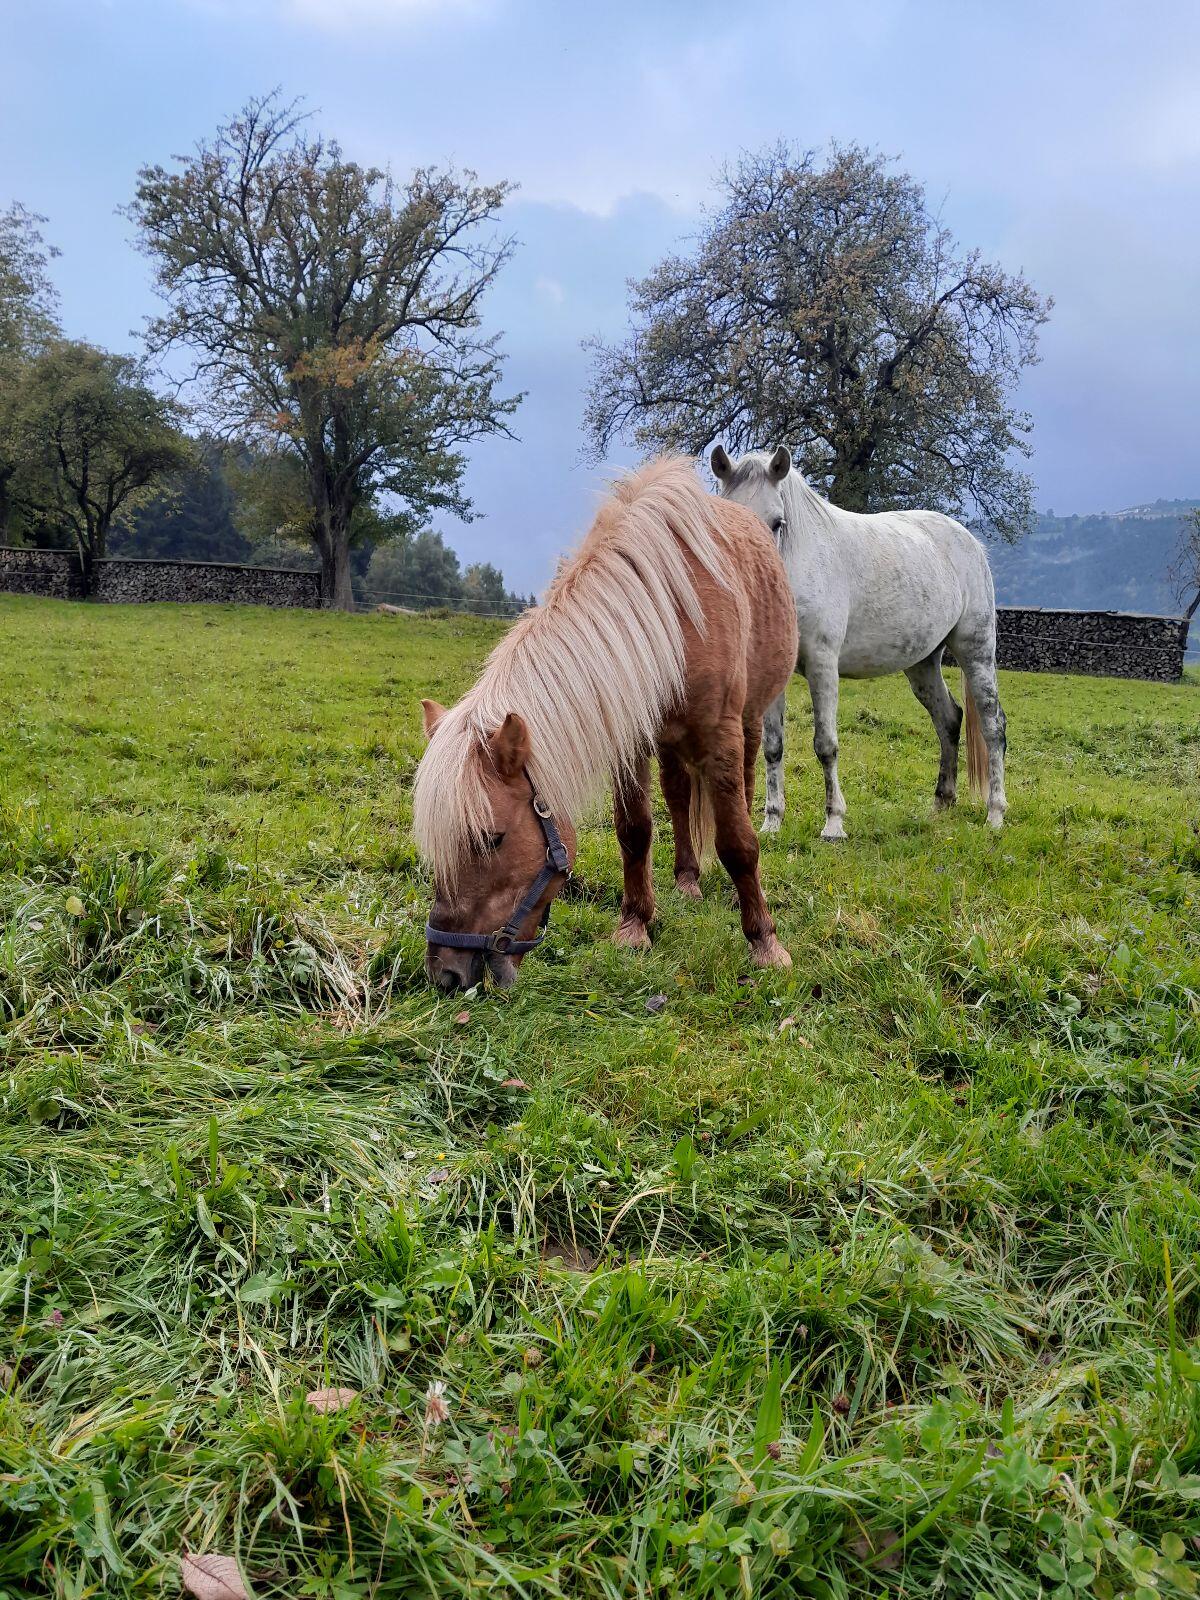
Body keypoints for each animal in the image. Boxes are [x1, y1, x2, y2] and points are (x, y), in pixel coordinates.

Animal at [412, 455, 799, 991]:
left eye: (491, 839)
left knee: (740, 786)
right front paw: (635, 925)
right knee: (679, 796)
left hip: (750, 721)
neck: (671, 615)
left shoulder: (720, 734)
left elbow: (738, 842)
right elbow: (634, 830)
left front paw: (765, 944)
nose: (445, 973)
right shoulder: (630, 736)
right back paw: (687, 880)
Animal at [711, 445, 1008, 838]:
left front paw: (833, 823)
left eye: (777, 523)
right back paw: (941, 804)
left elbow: (825, 744)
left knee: (993, 725)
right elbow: (773, 747)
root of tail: (971, 542)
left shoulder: (823, 663)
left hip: (976, 650)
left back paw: (995, 814)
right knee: (948, 719)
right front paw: (772, 822)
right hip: (923, 664)